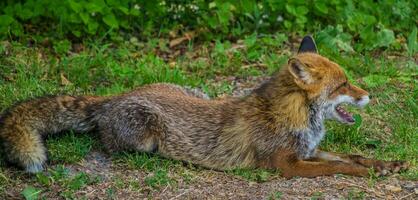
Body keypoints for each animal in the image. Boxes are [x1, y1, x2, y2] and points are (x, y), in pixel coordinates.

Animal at [0, 36, 406, 178]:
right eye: (343, 85)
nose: (369, 95)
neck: (288, 116)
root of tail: (115, 96)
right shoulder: (285, 164)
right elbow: (340, 166)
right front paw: (368, 173)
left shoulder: (308, 151)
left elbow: (351, 156)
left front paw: (385, 164)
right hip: (143, 138)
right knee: (109, 144)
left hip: (196, 91)